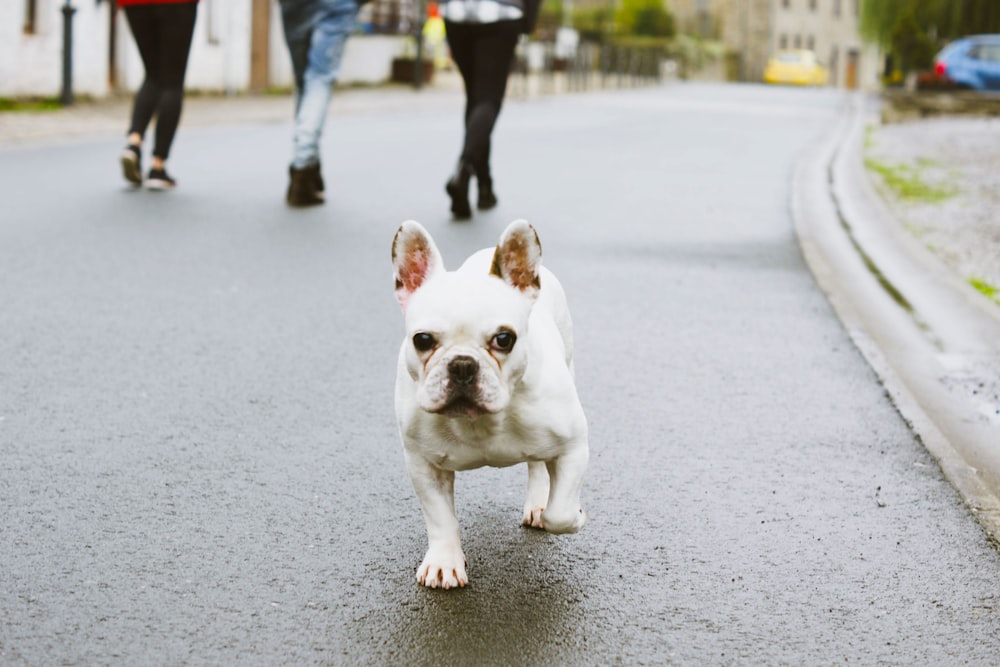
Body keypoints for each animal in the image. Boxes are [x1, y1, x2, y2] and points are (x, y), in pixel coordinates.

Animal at [394, 219, 588, 588]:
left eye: (504, 339)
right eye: (422, 340)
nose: (462, 364)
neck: (480, 421)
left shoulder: (573, 445)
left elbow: (560, 512)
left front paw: (573, 516)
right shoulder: (422, 463)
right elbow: (440, 518)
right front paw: (444, 562)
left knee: (538, 466)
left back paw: (538, 503)